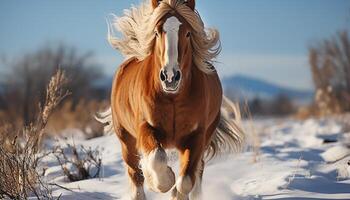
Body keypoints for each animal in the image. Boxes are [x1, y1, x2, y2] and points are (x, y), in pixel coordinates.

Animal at [97, 0, 245, 199]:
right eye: (157, 32)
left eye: (188, 33)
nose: (170, 77)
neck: (173, 98)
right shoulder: (145, 127)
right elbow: (157, 158)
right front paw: (160, 181)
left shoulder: (196, 136)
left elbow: (185, 181)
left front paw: (174, 190)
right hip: (126, 138)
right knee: (134, 174)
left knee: (198, 171)